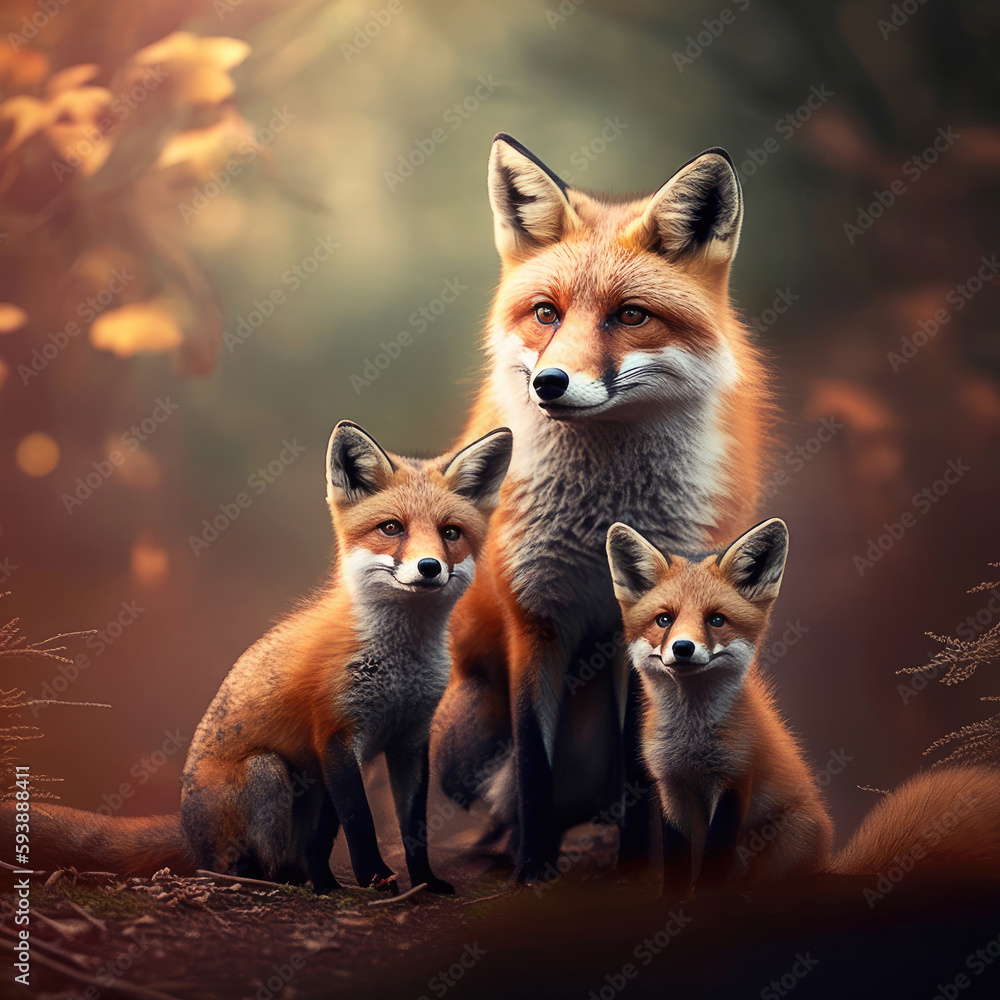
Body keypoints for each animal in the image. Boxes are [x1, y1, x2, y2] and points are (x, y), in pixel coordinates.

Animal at [8, 421, 512, 894]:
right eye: (392, 528)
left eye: (451, 534)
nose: (430, 567)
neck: (401, 664)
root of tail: (189, 833)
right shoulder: (336, 733)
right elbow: (362, 823)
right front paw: (375, 879)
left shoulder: (408, 738)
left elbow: (414, 828)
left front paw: (423, 882)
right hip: (268, 771)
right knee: (255, 865)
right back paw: (279, 880)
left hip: (313, 787)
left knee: (310, 848)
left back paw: (318, 881)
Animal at [430, 133, 771, 880]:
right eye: (546, 313)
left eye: (631, 315)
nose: (549, 384)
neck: (598, 520)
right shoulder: (535, 615)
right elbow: (534, 763)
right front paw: (533, 868)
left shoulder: (642, 631)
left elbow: (641, 766)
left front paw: (639, 864)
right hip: (458, 736)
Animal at [605, 517, 833, 894]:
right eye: (664, 620)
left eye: (716, 620)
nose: (683, 648)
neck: (692, 741)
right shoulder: (671, 785)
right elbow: (677, 860)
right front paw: (673, 900)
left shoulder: (734, 780)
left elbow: (714, 857)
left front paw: (704, 899)